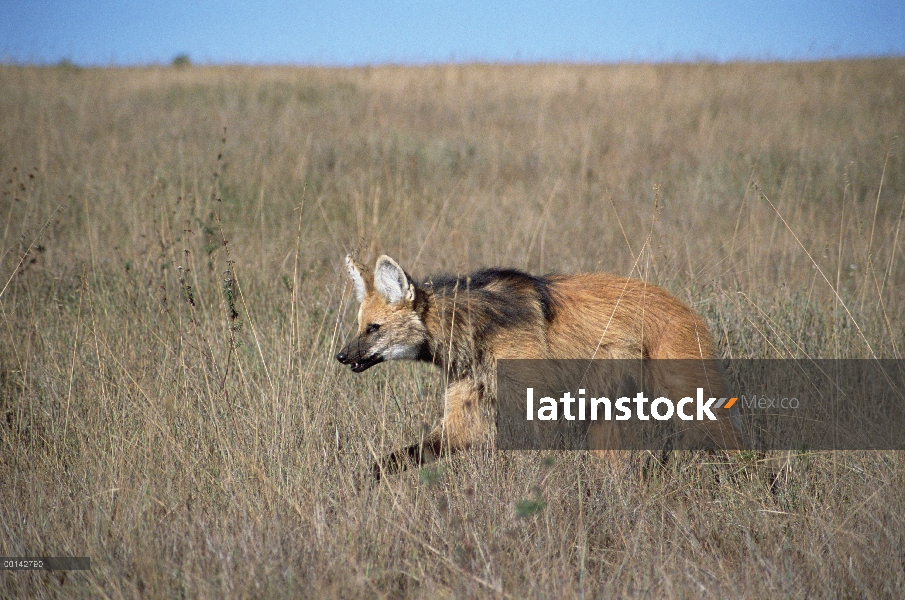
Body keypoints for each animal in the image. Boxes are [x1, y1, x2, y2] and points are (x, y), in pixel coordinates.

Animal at [336, 253, 740, 478]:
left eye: (374, 329)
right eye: (360, 327)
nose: (342, 356)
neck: (471, 330)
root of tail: (686, 308)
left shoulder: (534, 404)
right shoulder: (466, 414)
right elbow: (397, 459)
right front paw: (363, 486)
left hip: (687, 399)